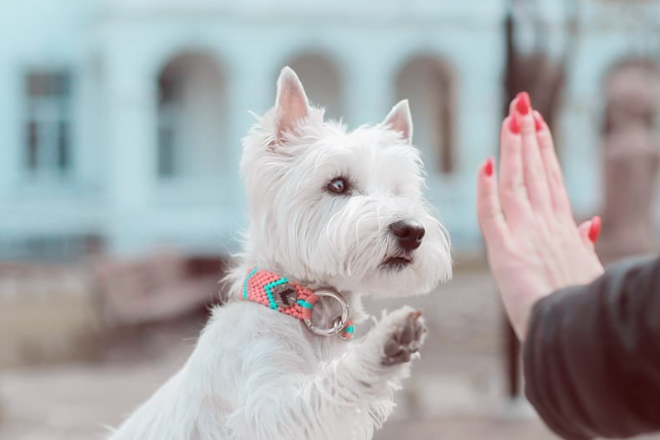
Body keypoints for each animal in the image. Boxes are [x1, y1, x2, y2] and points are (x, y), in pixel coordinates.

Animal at [111, 66, 452, 440]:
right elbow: (324, 387)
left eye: (398, 192)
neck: (304, 308)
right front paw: (384, 345)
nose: (411, 231)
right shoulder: (265, 407)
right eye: (337, 184)